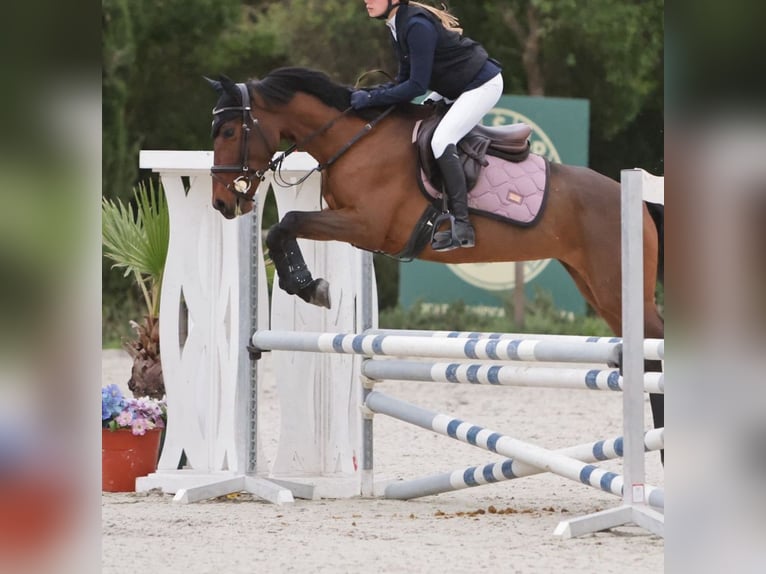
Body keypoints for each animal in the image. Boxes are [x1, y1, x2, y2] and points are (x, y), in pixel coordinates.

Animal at [205, 67, 665, 443]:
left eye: (228, 133)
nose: (222, 203)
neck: (354, 140)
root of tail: (635, 198)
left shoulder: (365, 225)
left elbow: (285, 223)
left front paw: (307, 284)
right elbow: (281, 229)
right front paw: (305, 284)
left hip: (615, 287)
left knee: (655, 347)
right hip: (597, 288)